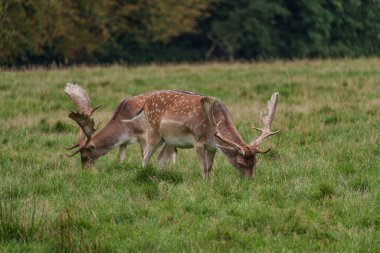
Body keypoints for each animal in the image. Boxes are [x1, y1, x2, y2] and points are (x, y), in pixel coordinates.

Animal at [134, 91, 280, 178]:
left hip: (170, 140)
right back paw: (143, 173)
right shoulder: (198, 141)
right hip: (153, 131)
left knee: (161, 158)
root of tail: (146, 102)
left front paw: (209, 181)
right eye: (240, 162)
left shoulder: (213, 147)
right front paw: (204, 184)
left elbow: (210, 167)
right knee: (145, 156)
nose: (250, 180)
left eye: (255, 162)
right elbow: (203, 167)